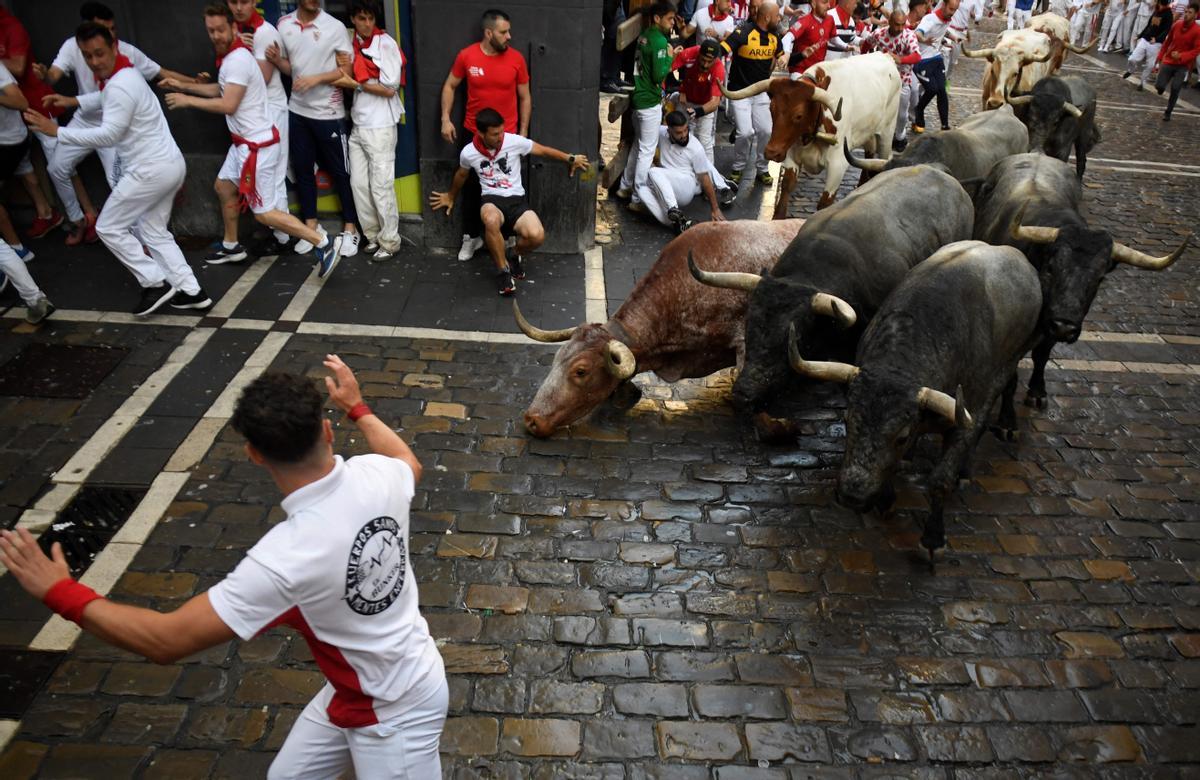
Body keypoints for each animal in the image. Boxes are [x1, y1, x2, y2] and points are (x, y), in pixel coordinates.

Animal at [720, 51, 902, 213]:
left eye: (799, 115)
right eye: (771, 109)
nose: (771, 152)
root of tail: (886, 56)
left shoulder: (838, 164)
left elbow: (824, 203)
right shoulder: (791, 155)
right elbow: (785, 191)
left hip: (886, 134)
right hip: (868, 134)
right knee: (868, 157)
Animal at [787, 241, 1041, 552]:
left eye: (901, 436)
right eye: (847, 422)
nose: (852, 494)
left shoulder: (968, 410)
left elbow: (941, 478)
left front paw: (933, 537)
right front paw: (886, 498)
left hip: (1010, 363)